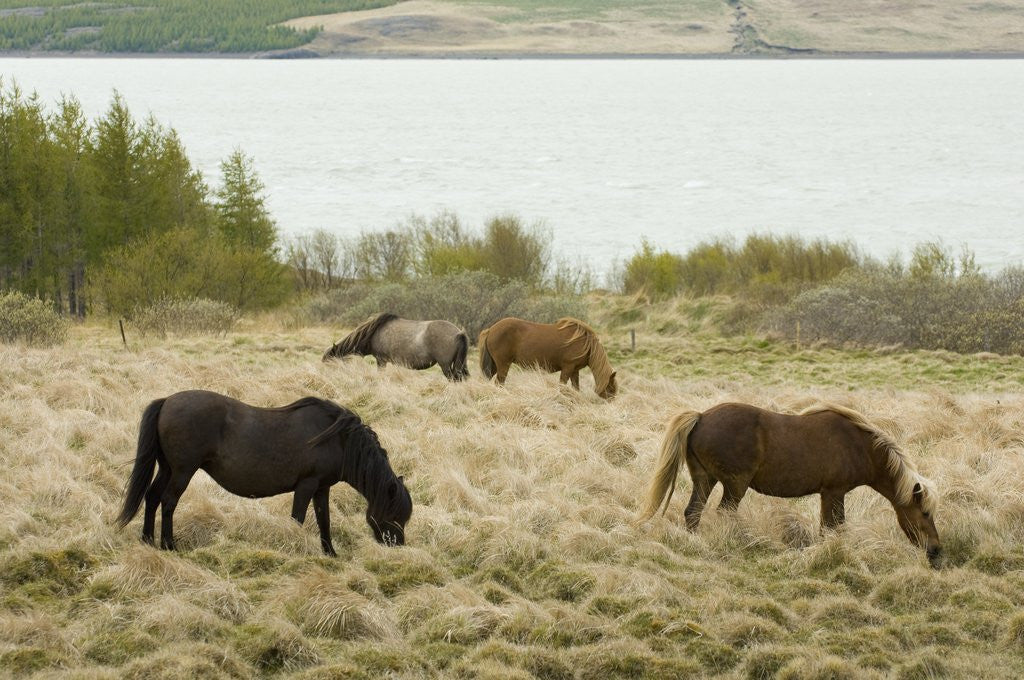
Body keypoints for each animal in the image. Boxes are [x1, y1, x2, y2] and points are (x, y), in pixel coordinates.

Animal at [115, 390, 413, 555]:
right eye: (394, 514)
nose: (397, 545)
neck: (337, 439)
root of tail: (167, 401)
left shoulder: (321, 488)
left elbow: (324, 520)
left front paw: (330, 553)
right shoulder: (306, 485)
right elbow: (298, 519)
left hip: (167, 468)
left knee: (152, 497)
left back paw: (147, 540)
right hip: (182, 471)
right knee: (168, 501)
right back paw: (169, 544)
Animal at [478, 317, 617, 399]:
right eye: (610, 389)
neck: (586, 343)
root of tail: (490, 329)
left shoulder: (575, 370)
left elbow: (576, 388)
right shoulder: (567, 368)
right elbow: (562, 387)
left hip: (494, 366)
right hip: (503, 365)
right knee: (499, 383)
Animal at [640, 402, 942, 568]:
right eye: (925, 513)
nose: (936, 551)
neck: (860, 445)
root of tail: (701, 416)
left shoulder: (828, 495)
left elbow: (829, 527)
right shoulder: (834, 493)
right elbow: (834, 527)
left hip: (705, 480)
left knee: (693, 512)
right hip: (735, 485)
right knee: (724, 513)